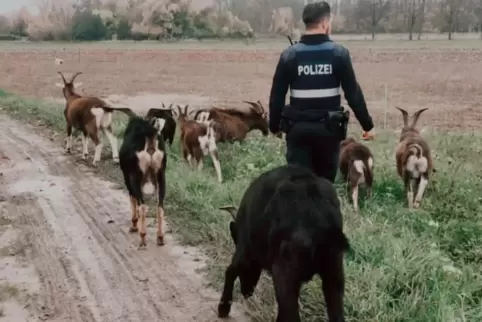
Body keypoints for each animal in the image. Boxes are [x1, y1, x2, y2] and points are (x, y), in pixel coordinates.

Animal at [119, 115, 168, 247]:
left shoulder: (128, 176)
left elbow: (133, 198)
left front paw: (134, 225)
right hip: (161, 175)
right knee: (160, 206)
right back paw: (160, 237)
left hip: (135, 176)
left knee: (142, 205)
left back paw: (142, 237)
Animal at [219, 165, 350, 320]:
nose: (246, 293)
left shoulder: (244, 251)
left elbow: (230, 271)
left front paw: (223, 308)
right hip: (334, 272)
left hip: (285, 274)